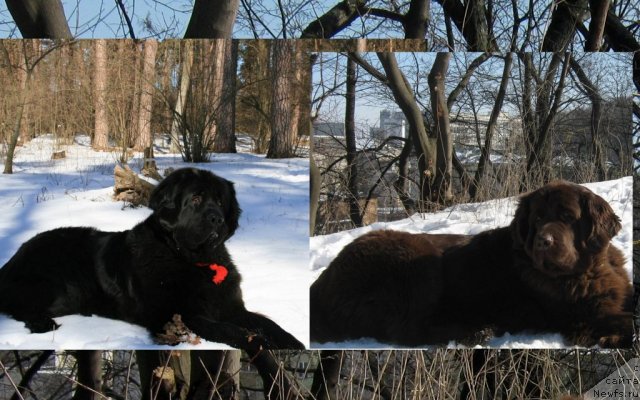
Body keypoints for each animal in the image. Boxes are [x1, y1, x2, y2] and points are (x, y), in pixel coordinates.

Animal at [0, 167, 304, 348]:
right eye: (196, 199)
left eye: (220, 202)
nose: (217, 219)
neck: (193, 261)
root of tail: (12, 260)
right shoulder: (178, 315)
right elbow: (229, 331)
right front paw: (259, 344)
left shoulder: (232, 306)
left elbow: (266, 322)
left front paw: (293, 343)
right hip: (55, 282)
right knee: (20, 306)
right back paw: (43, 324)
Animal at [312, 181, 636, 346]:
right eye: (537, 219)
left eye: (567, 216)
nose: (543, 242)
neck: (590, 270)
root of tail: (321, 282)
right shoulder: (577, 315)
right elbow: (622, 319)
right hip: (417, 260)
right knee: (406, 331)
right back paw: (474, 332)